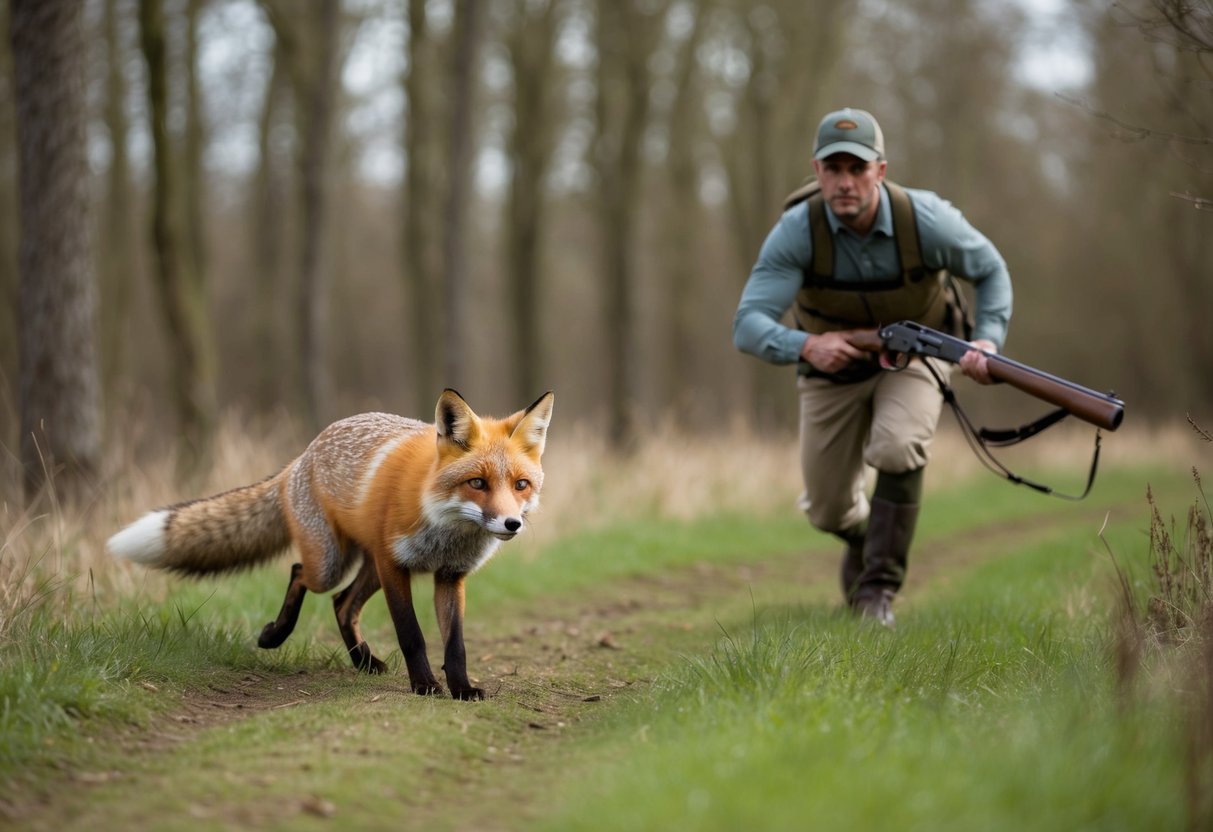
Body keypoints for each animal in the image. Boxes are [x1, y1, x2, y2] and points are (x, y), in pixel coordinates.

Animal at [106, 389, 554, 701]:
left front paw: (461, 689)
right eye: (477, 482)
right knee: (301, 574)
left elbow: (455, 644)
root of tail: (300, 457)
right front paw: (425, 685)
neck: (446, 529)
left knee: (342, 604)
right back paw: (275, 635)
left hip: (367, 566)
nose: (511, 523)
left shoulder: (450, 576)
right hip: (333, 562)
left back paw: (364, 662)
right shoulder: (396, 567)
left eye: (520, 485)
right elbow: (412, 635)